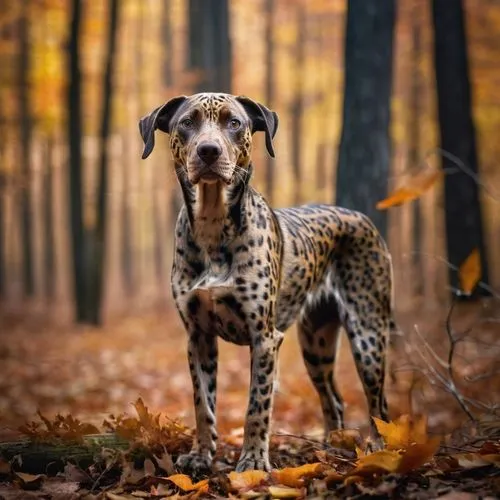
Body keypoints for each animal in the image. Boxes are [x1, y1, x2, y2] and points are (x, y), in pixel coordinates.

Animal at [139, 93, 396, 476]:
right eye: (187, 122)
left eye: (234, 122)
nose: (209, 151)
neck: (212, 223)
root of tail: (363, 218)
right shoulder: (198, 337)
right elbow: (203, 404)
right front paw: (201, 455)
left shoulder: (265, 338)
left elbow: (256, 406)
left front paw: (253, 461)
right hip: (316, 343)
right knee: (333, 400)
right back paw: (331, 450)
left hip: (368, 335)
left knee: (379, 404)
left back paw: (378, 451)